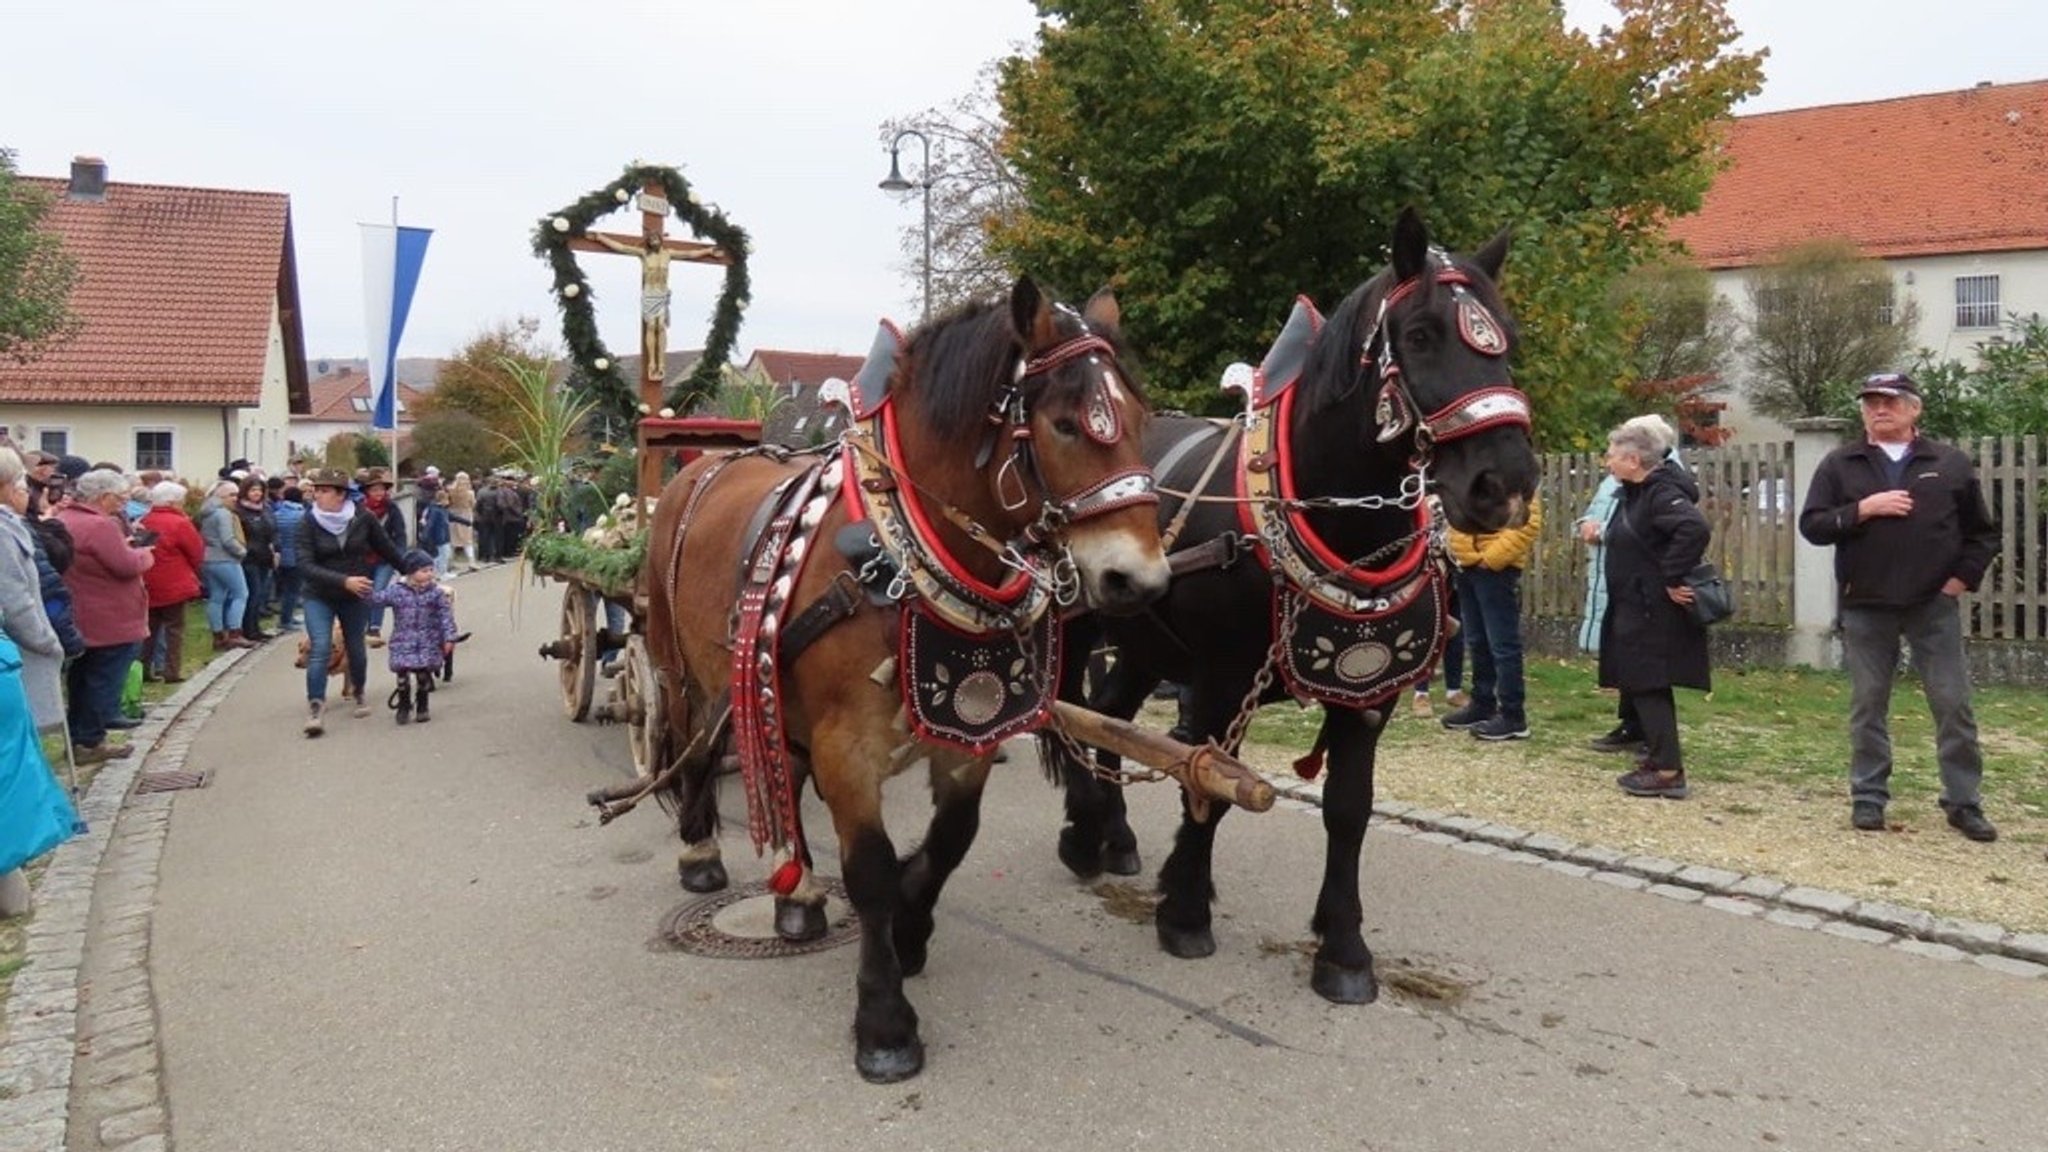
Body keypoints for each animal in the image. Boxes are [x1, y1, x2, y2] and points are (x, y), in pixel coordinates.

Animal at [647, 278, 1179, 1074]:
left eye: (1141, 421)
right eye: (1063, 424)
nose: (1137, 579)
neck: (899, 555)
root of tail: (700, 469)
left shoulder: (968, 736)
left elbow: (949, 842)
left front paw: (910, 927)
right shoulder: (847, 747)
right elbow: (868, 870)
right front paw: (884, 1020)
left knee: (785, 776)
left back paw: (798, 895)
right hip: (681, 668)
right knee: (694, 750)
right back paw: (701, 850)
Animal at [1056, 211, 1540, 1000]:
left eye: (1506, 337)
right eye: (1421, 335)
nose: (1506, 484)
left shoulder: (1368, 692)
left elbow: (1349, 811)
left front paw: (1342, 948)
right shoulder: (1222, 681)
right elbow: (1209, 783)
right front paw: (1185, 910)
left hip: (1145, 642)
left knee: (1113, 715)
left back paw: (1115, 835)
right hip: (1075, 627)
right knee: (1070, 711)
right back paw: (1081, 835)